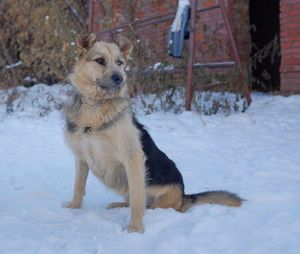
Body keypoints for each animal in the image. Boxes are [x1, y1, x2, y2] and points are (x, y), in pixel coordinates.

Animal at [63, 33, 244, 234]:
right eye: (100, 61)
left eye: (119, 62)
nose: (120, 78)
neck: (95, 107)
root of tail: (184, 196)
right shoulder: (81, 157)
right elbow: (78, 185)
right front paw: (74, 206)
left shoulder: (133, 159)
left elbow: (137, 200)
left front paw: (135, 228)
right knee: (131, 201)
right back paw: (117, 205)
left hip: (159, 199)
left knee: (144, 203)